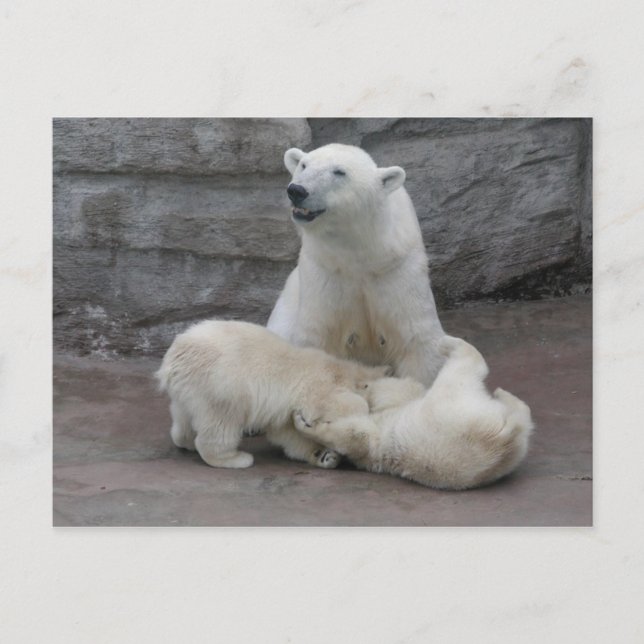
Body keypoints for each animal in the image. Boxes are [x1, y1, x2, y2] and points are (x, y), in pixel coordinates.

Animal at [155, 320, 391, 469]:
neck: (345, 371)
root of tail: (172, 361)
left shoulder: (285, 414)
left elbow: (288, 434)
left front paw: (324, 455)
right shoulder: (318, 385)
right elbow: (332, 403)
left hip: (190, 390)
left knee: (183, 416)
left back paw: (185, 440)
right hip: (222, 384)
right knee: (222, 421)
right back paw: (236, 458)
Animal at [267, 143, 446, 388]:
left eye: (339, 172)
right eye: (303, 165)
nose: (297, 190)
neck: (359, 253)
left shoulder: (398, 268)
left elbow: (417, 341)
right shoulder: (324, 268)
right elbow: (316, 336)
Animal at [293, 336, 534, 490]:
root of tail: (501, 437)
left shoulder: (386, 416)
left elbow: (356, 434)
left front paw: (303, 422)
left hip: (445, 407)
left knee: (460, 369)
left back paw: (447, 343)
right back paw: (505, 395)